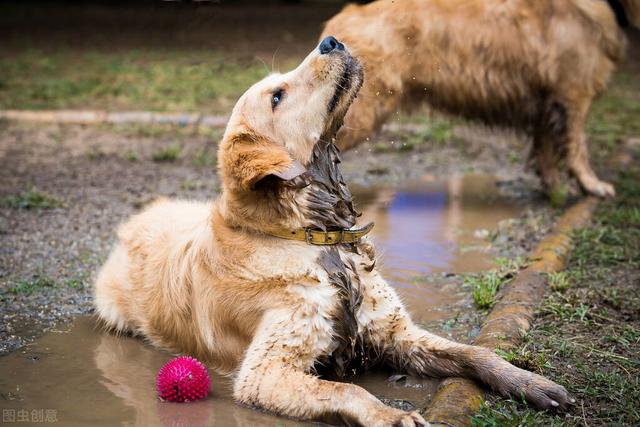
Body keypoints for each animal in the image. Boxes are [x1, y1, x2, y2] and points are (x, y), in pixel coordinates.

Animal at [94, 38, 568, 426]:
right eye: (278, 96)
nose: (331, 41)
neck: (317, 241)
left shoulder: (396, 332)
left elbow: (475, 351)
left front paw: (527, 381)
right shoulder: (264, 372)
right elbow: (345, 388)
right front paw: (390, 416)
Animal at [320, 0, 632, 197]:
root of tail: (339, 23)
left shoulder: (546, 101)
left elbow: (546, 151)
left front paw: (554, 190)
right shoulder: (573, 95)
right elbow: (577, 145)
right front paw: (592, 185)